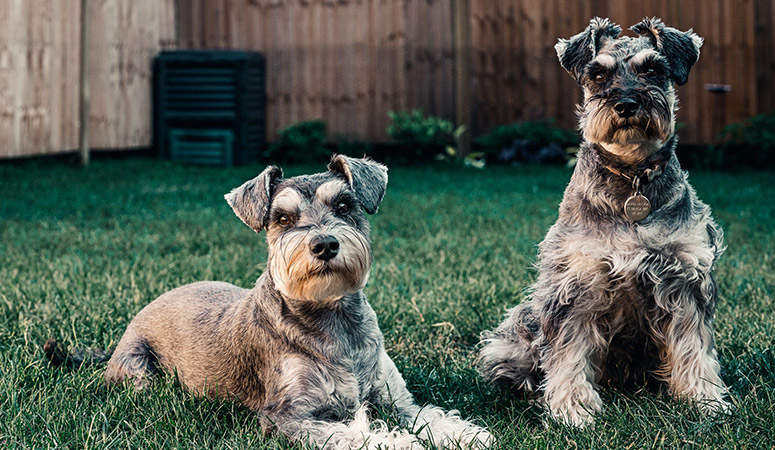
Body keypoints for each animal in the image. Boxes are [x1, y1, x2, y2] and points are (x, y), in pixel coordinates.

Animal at [476, 17, 732, 426]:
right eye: (598, 74)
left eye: (652, 70)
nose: (626, 104)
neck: (632, 175)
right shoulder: (576, 284)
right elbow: (568, 353)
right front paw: (573, 409)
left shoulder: (685, 279)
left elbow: (694, 346)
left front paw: (705, 399)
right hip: (516, 332)